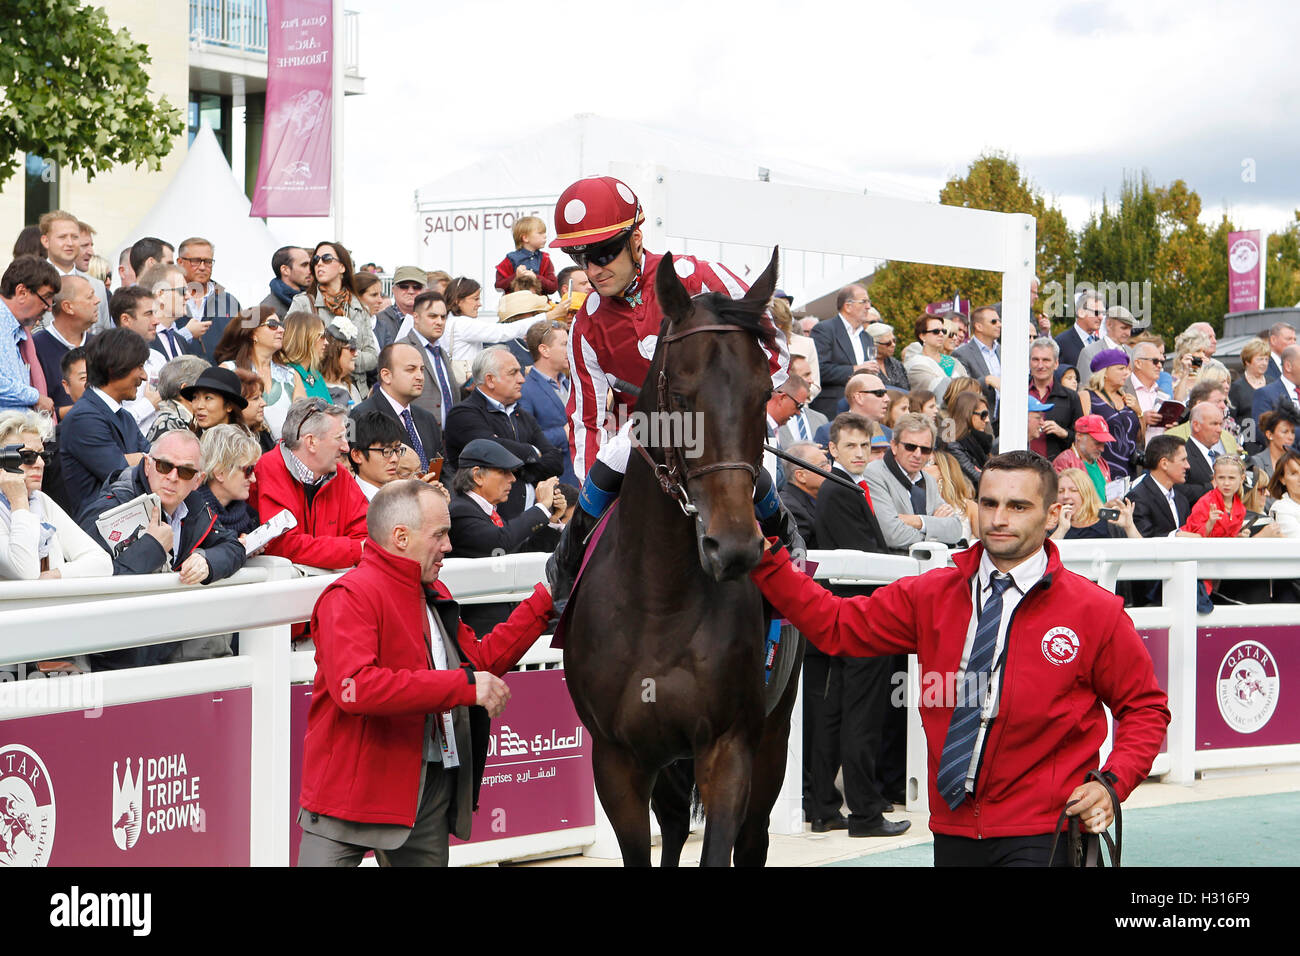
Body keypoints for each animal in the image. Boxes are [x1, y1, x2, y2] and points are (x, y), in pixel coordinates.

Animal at [561, 247, 800, 868]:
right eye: (684, 399)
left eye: (761, 398)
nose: (734, 547)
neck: (659, 601)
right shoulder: (616, 759)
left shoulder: (730, 746)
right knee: (671, 825)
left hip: (775, 735)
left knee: (754, 838)